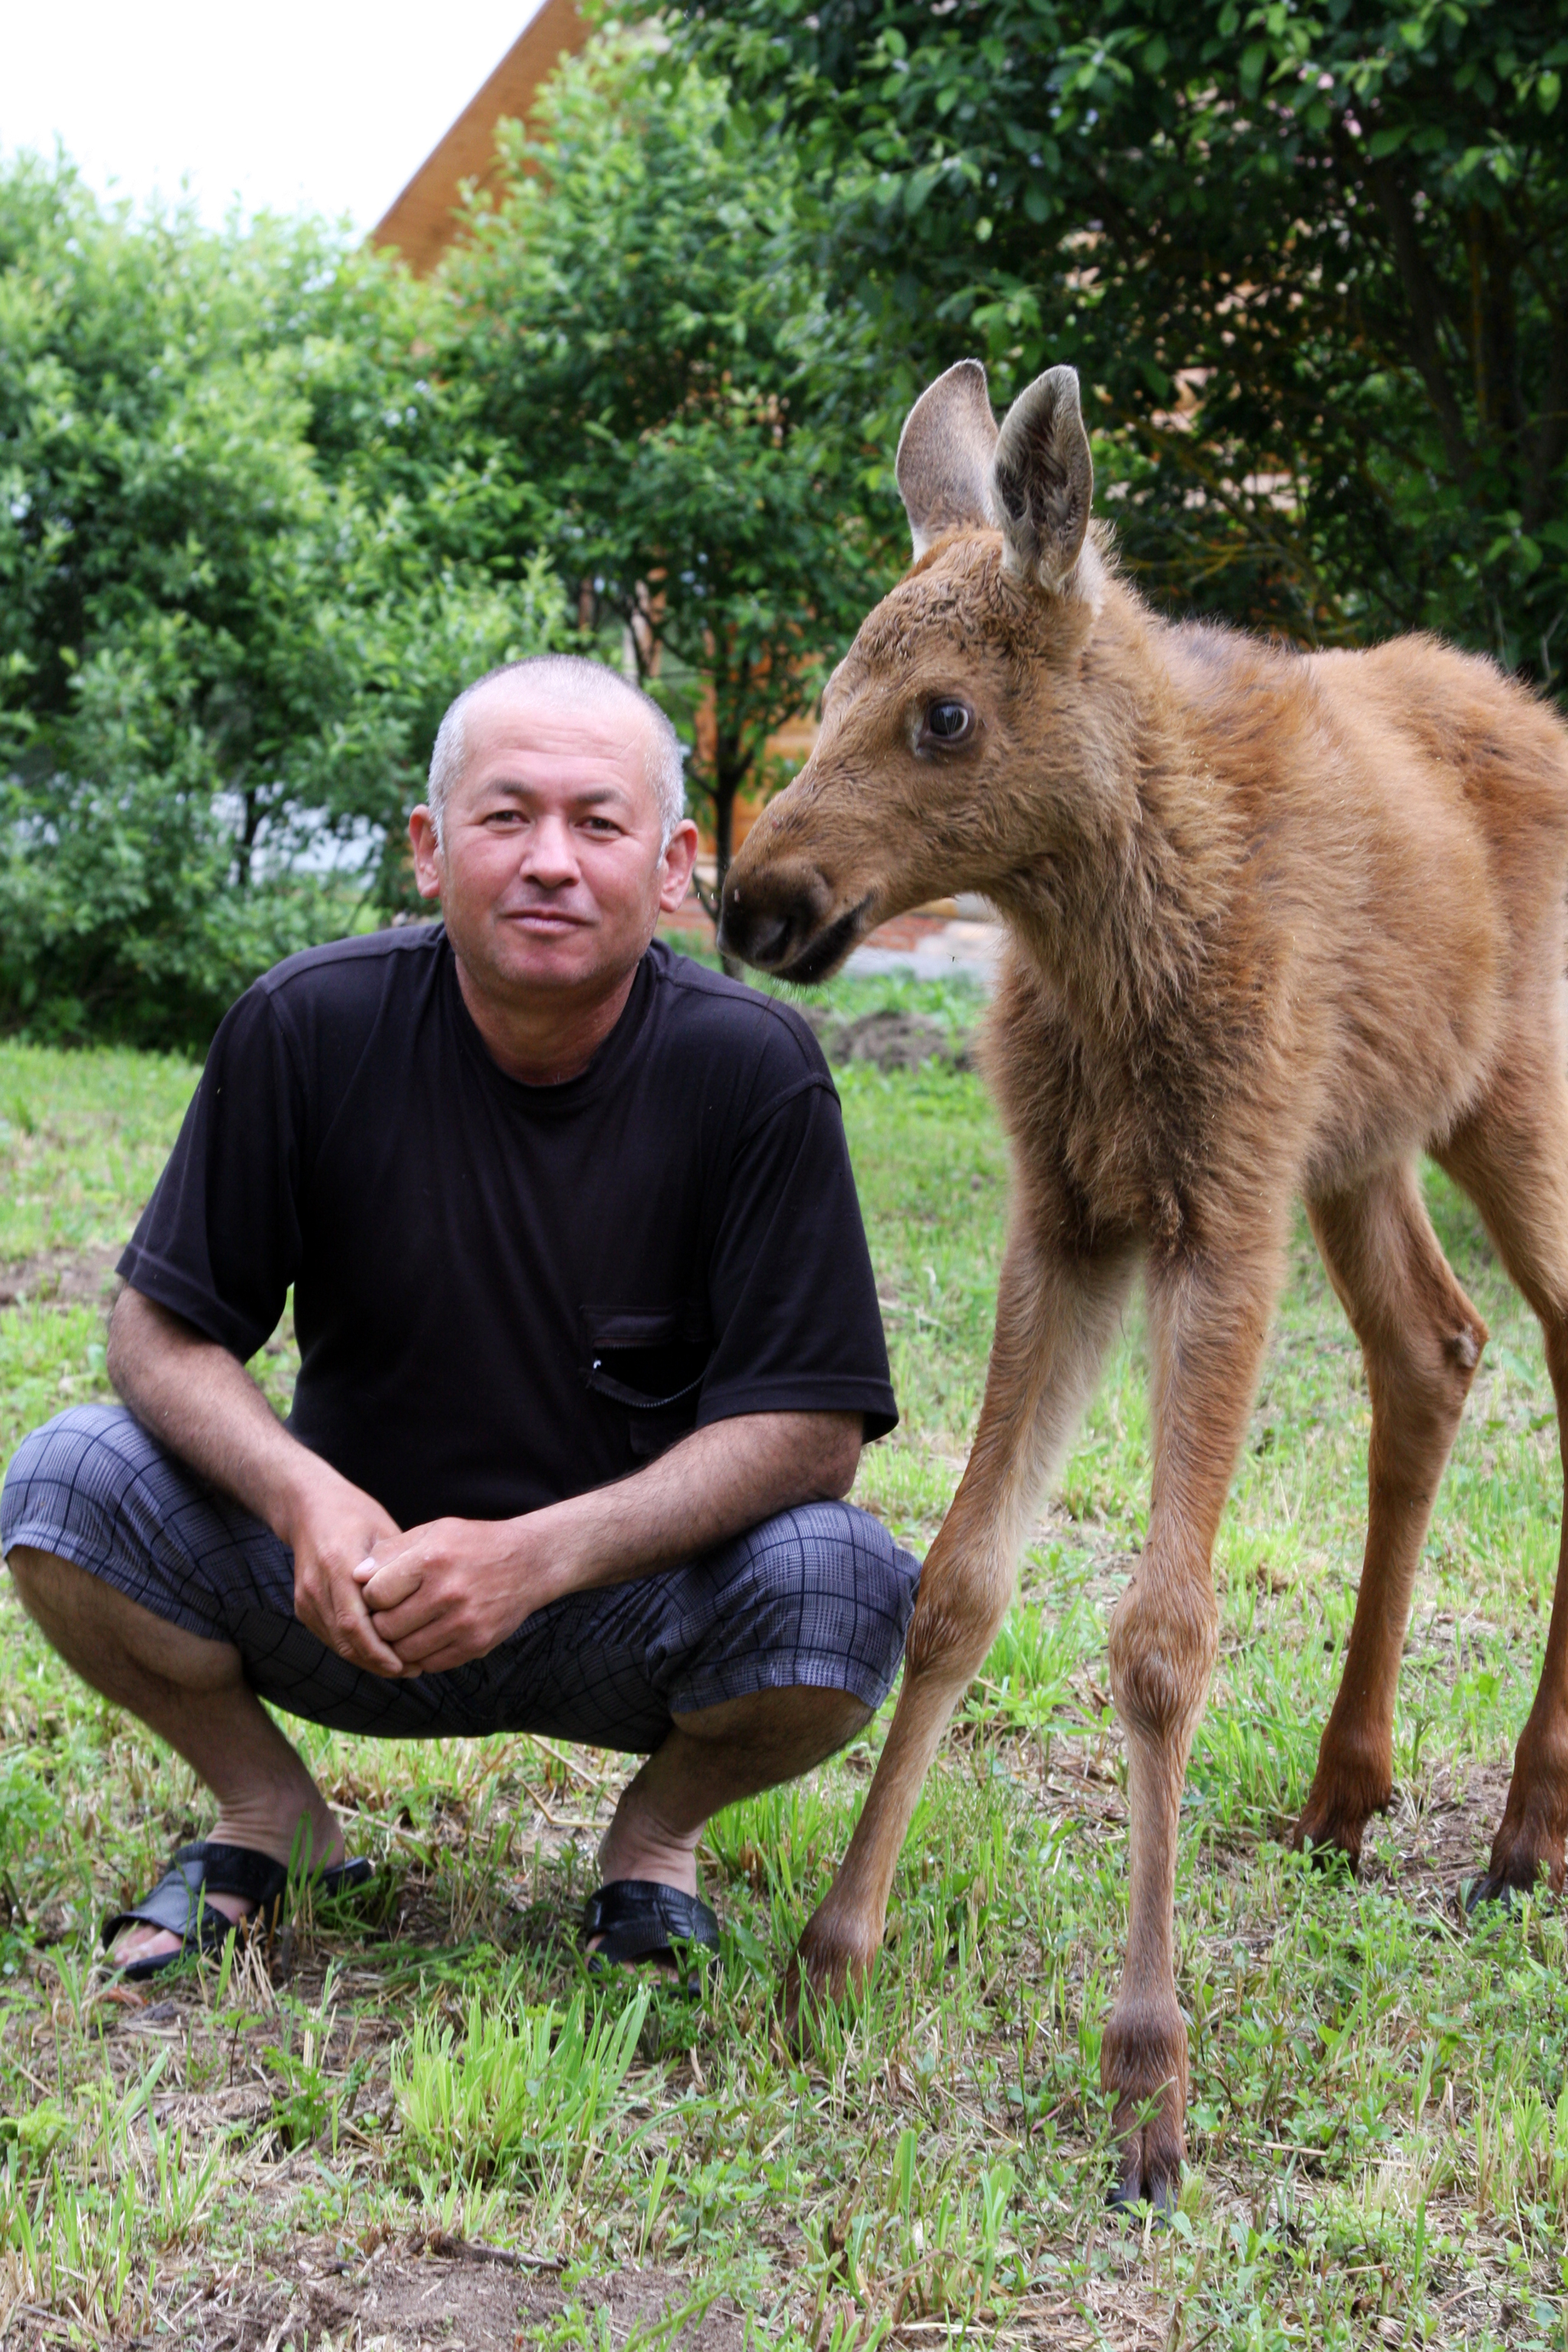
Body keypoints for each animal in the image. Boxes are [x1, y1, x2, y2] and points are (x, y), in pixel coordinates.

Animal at [719, 357, 1568, 2210]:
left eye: (943, 715)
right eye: (826, 685)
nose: (754, 898)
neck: (1106, 937)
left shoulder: (1220, 1214)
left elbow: (1163, 1634)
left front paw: (1147, 2085)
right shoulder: (1073, 1215)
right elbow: (959, 1581)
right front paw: (828, 1957)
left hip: (1511, 1106)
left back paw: (1525, 1823)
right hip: (1362, 1147)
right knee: (1434, 1348)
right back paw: (1345, 1794)